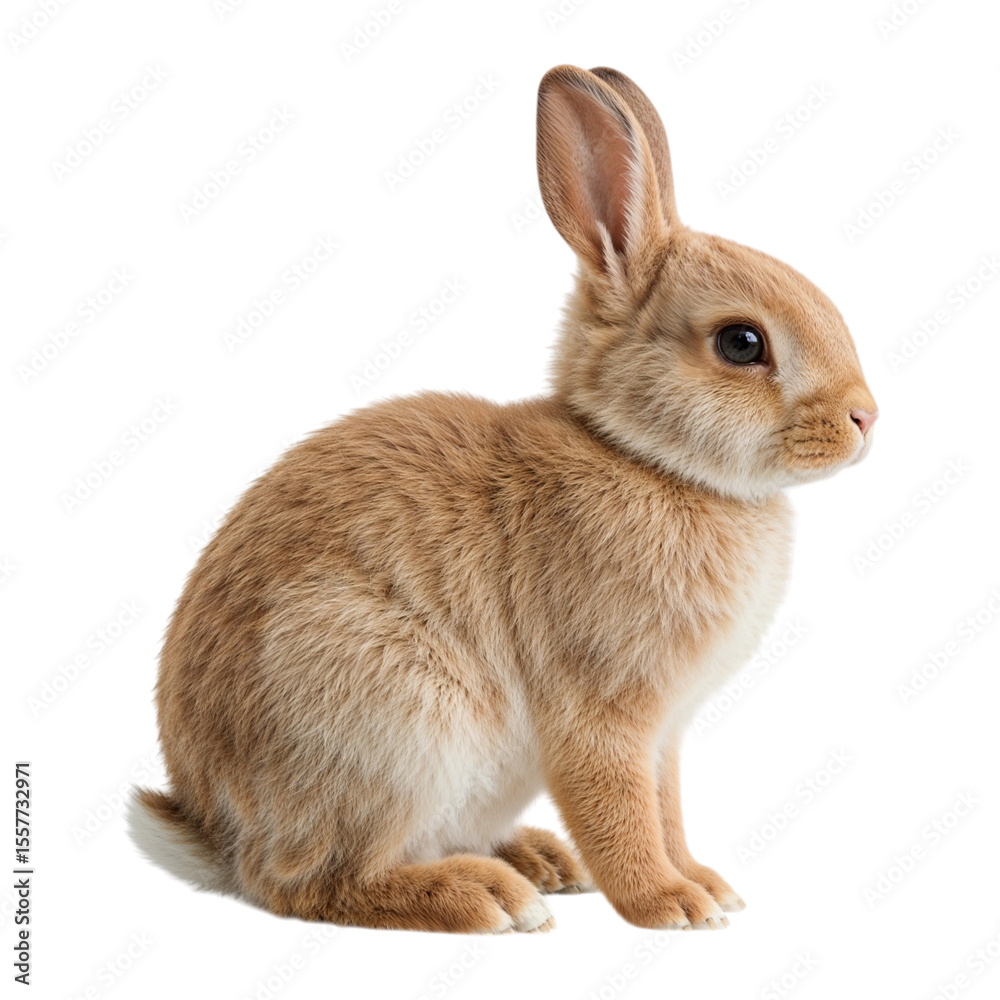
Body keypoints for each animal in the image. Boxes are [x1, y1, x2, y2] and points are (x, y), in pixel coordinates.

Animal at [128, 64, 878, 934]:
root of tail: (212, 824)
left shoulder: (664, 733)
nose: (866, 417)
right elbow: (620, 810)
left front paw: (704, 883)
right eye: (741, 343)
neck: (645, 458)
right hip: (393, 714)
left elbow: (666, 808)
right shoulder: (602, 710)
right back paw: (486, 897)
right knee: (308, 883)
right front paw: (670, 904)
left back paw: (536, 860)